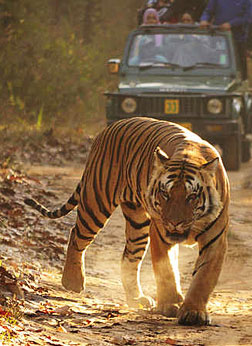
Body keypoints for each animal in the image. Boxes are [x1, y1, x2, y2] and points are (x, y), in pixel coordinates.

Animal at [24, 117, 229, 326]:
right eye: (165, 193)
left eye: (191, 196)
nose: (174, 223)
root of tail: (108, 128)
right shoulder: (160, 234)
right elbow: (166, 271)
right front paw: (169, 305)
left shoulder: (215, 240)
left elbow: (203, 277)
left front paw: (193, 312)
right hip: (96, 202)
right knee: (76, 235)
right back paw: (72, 281)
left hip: (137, 223)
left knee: (129, 258)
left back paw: (136, 298)